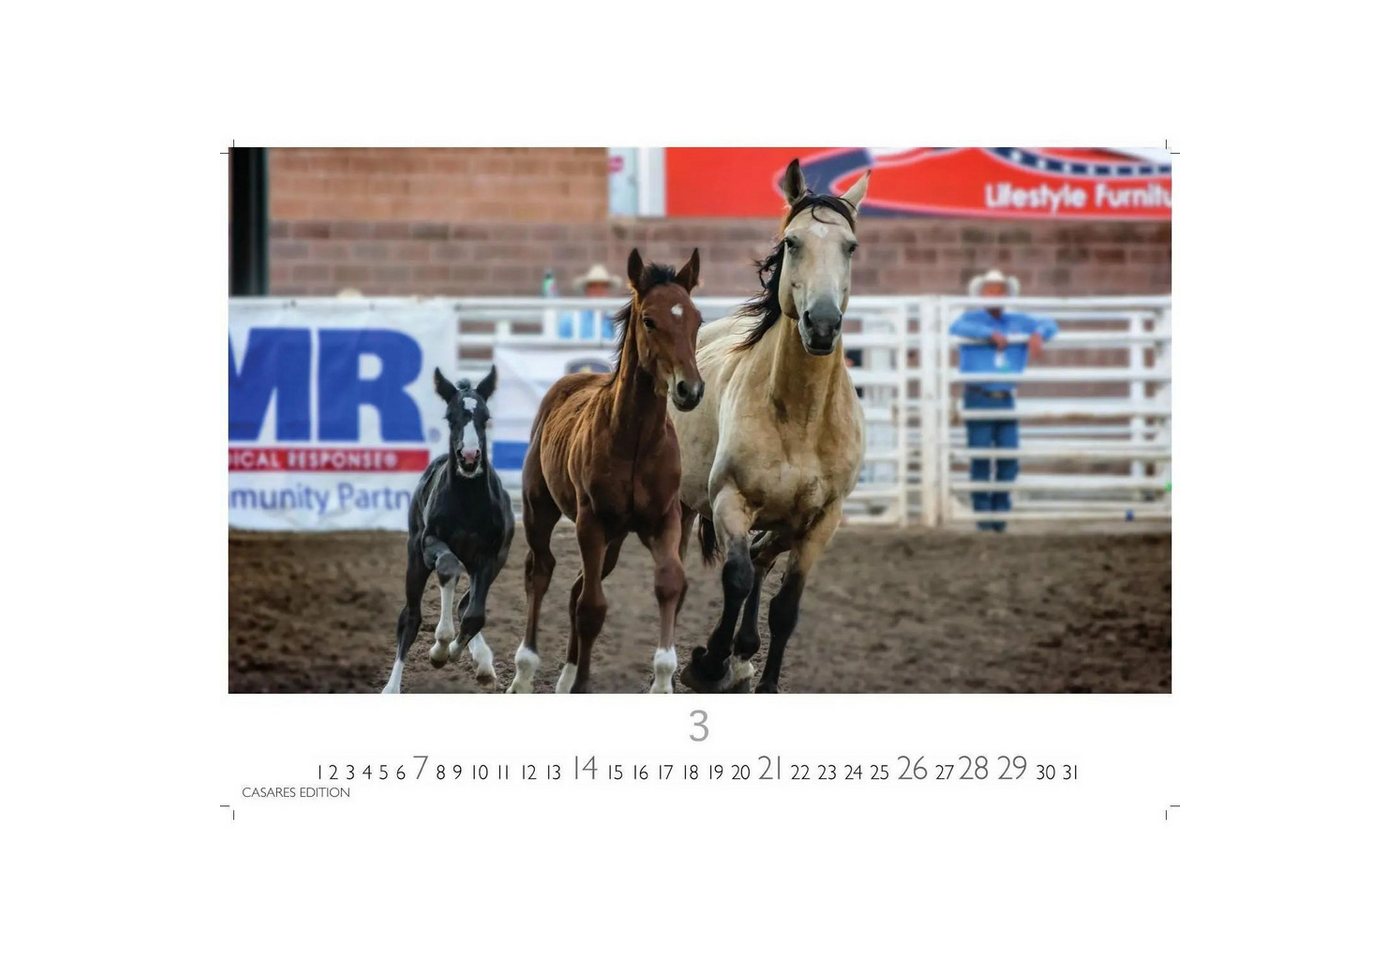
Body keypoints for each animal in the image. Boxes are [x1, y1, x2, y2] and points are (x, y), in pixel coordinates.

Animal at [382, 366, 514, 693]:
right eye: (450, 417)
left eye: (485, 417)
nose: (469, 457)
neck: (467, 502)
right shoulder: (430, 542)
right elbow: (447, 569)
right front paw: (439, 648)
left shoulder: (490, 556)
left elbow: (474, 615)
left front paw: (459, 653)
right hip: (415, 558)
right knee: (410, 616)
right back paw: (392, 686)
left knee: (467, 604)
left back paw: (483, 662)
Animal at [507, 248, 705, 693]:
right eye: (649, 320)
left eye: (697, 319)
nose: (690, 389)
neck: (635, 440)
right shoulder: (591, 522)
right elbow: (592, 607)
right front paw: (580, 685)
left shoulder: (663, 519)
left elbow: (670, 582)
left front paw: (663, 680)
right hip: (540, 509)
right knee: (540, 571)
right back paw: (524, 672)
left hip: (613, 539)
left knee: (576, 585)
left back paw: (564, 676)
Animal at [671, 158, 870, 693]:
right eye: (792, 242)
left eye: (850, 246)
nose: (821, 324)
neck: (800, 417)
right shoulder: (730, 500)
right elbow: (736, 578)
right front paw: (706, 664)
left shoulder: (822, 521)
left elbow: (785, 608)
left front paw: (762, 678)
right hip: (682, 504)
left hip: (785, 522)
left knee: (763, 559)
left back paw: (743, 653)